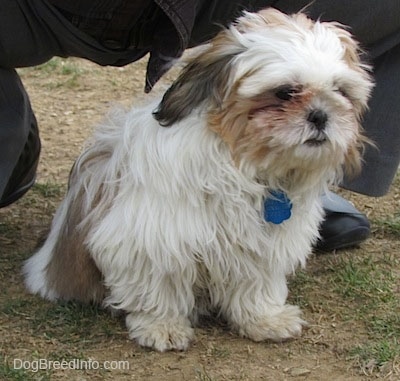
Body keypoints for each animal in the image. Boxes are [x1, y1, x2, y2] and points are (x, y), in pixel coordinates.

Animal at [23, 7, 374, 350]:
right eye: (285, 92)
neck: (244, 164)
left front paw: (264, 318)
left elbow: (256, 283)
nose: (321, 115)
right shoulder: (155, 237)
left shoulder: (263, 243)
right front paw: (161, 325)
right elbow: (159, 285)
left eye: (340, 91)